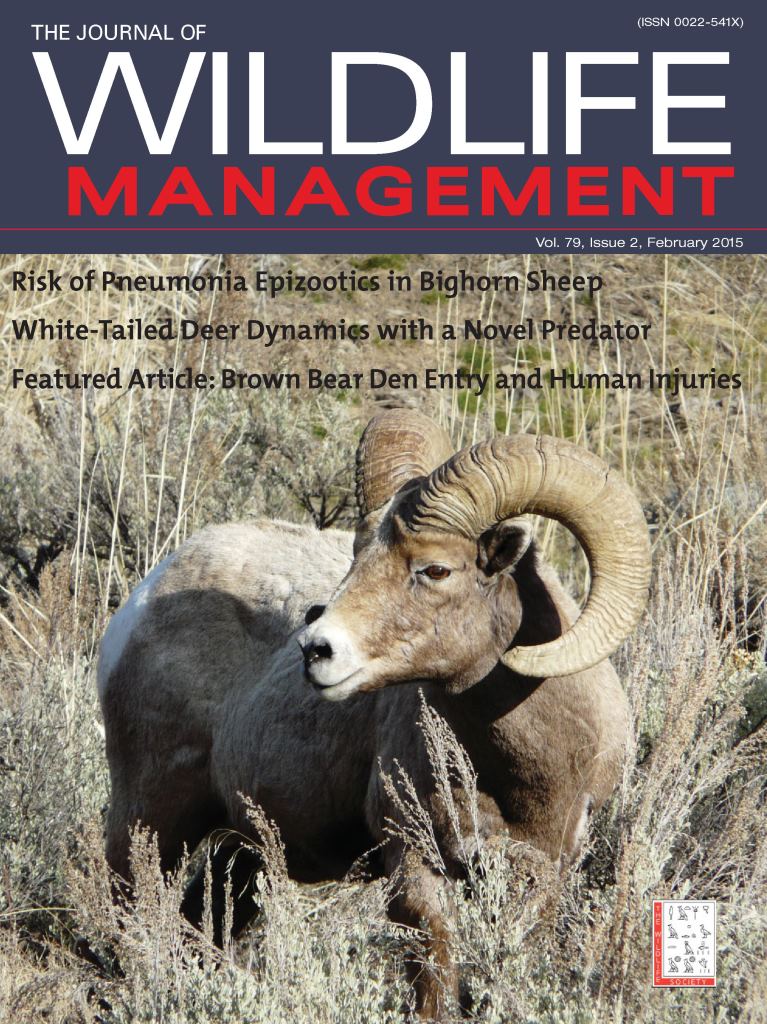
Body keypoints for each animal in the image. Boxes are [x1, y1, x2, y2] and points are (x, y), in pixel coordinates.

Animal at [98, 409, 650, 1019]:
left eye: (436, 570)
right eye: (357, 557)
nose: (315, 649)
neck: (519, 773)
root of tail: (144, 599)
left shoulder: (544, 871)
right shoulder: (413, 860)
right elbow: (433, 974)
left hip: (240, 851)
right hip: (151, 821)